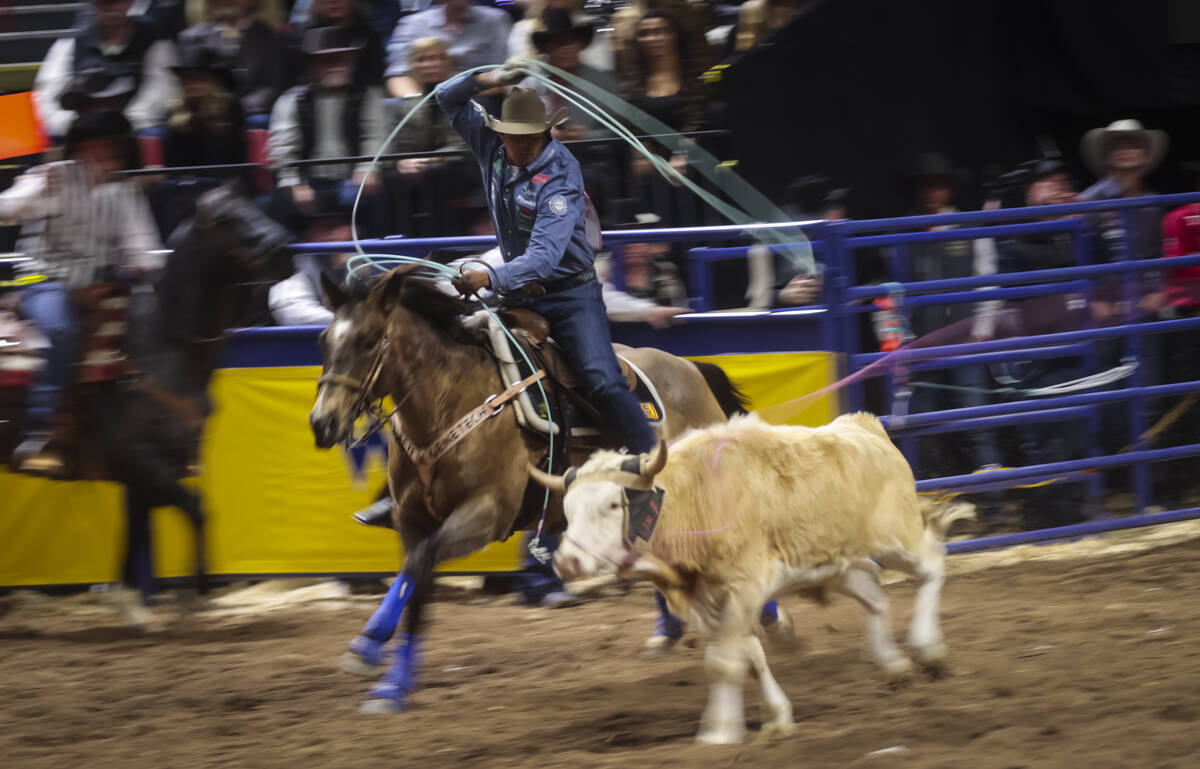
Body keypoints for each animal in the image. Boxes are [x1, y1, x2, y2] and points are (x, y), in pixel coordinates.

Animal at [9, 187, 292, 623]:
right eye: (225, 218)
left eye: (252, 204)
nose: (283, 250)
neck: (163, 344)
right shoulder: (141, 459)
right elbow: (195, 509)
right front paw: (199, 588)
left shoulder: (149, 469)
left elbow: (139, 528)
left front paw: (131, 606)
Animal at [309, 266, 739, 710]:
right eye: (324, 339)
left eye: (368, 339)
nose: (323, 423)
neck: (455, 399)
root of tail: (693, 370)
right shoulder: (412, 520)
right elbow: (415, 584)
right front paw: (392, 686)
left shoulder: (486, 514)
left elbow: (419, 566)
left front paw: (367, 646)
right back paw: (668, 630)